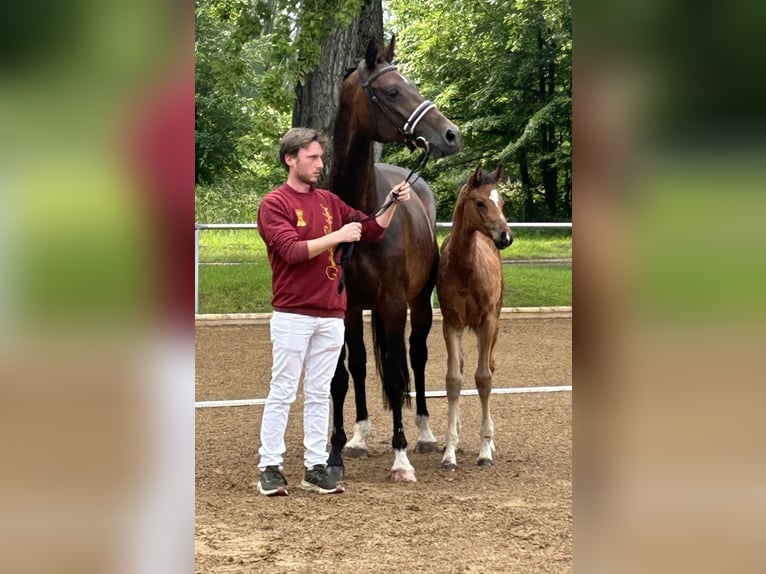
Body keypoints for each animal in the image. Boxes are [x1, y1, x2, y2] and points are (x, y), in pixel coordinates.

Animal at [326, 36, 462, 484]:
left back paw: (424, 433)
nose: (451, 134)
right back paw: (362, 437)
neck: (363, 214)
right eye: (391, 91)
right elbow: (347, 373)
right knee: (369, 364)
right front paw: (342, 446)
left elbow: (400, 370)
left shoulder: (393, 304)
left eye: (411, 84)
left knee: (415, 358)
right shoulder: (346, 308)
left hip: (418, 304)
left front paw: (401, 457)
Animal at [438, 164, 516, 470]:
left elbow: (483, 378)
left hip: (496, 323)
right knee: (459, 366)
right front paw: (449, 451)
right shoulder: (452, 324)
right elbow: (453, 379)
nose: (506, 236)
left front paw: (485, 451)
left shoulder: (487, 323)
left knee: (490, 366)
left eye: (502, 202)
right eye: (480, 202)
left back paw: (490, 442)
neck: (465, 270)